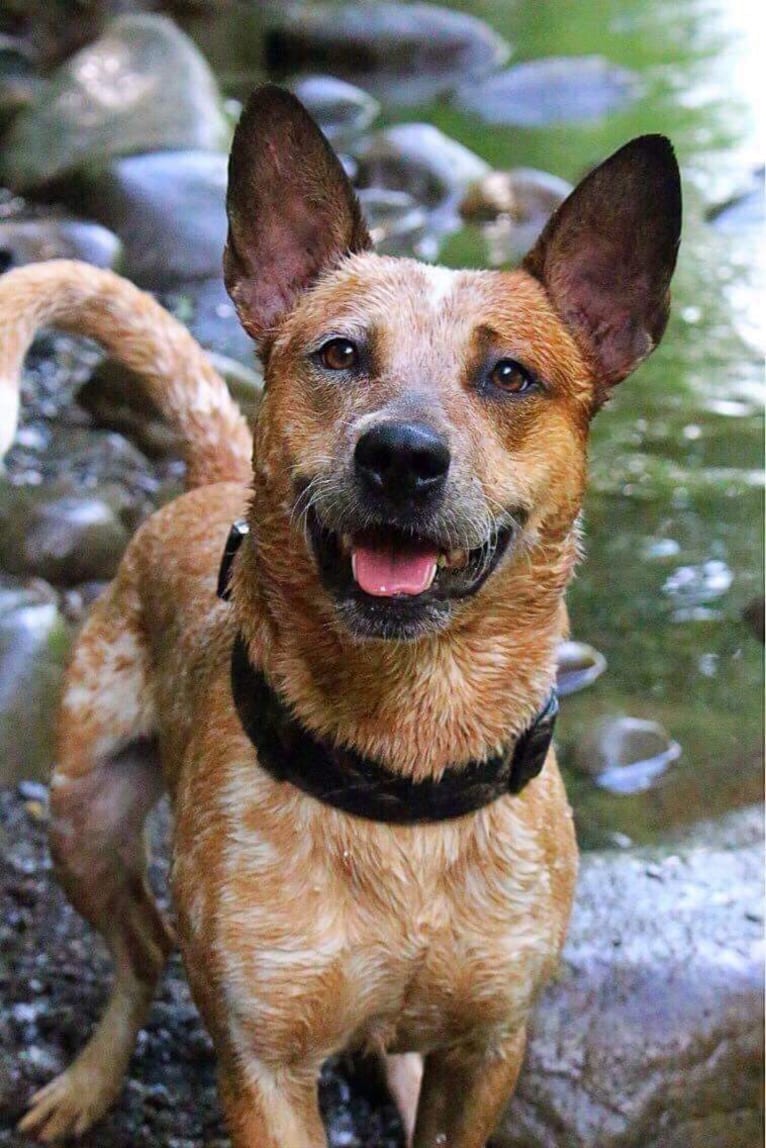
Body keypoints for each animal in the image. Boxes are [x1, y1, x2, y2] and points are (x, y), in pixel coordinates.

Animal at [1, 84, 684, 1143]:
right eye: (340, 354)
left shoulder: (488, 1048)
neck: (405, 763)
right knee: (143, 948)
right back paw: (87, 1082)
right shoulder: (265, 1063)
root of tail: (208, 477)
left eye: (510, 375)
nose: (400, 454)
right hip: (82, 816)